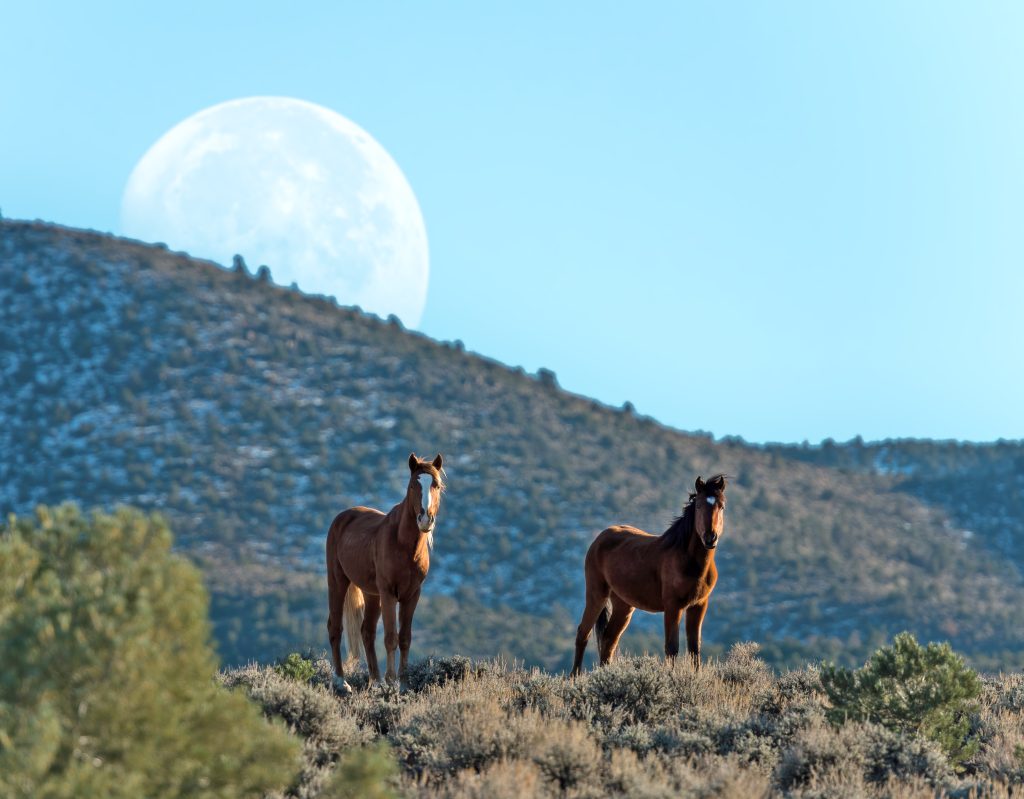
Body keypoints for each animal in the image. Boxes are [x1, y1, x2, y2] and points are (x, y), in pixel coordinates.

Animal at [325, 452, 442, 688]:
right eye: (412, 486)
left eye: (436, 484)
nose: (425, 519)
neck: (404, 545)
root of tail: (342, 517)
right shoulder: (389, 593)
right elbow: (390, 637)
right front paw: (391, 679)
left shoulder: (411, 595)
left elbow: (405, 638)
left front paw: (403, 683)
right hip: (338, 581)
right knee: (335, 627)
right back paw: (342, 682)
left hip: (371, 594)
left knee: (367, 631)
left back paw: (376, 682)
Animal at [569, 475, 729, 676]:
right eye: (699, 506)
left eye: (721, 506)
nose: (710, 538)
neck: (689, 561)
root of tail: (600, 538)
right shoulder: (673, 606)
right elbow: (672, 647)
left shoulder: (698, 605)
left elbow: (694, 648)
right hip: (596, 594)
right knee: (583, 633)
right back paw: (574, 678)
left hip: (623, 605)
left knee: (608, 640)